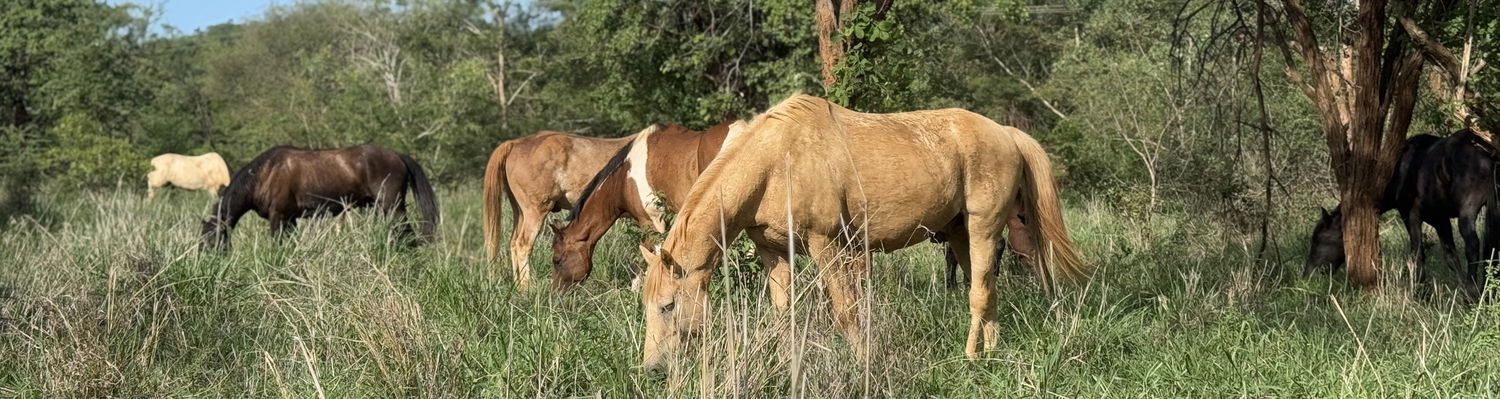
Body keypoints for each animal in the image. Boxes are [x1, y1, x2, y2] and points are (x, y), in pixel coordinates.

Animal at [483, 131, 636, 289]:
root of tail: (515, 143)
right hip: (535, 212)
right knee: (522, 245)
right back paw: (526, 288)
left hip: (519, 211)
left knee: (513, 243)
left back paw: (518, 287)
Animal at [639, 94, 1086, 373]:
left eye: (667, 305)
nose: (653, 368)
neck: (776, 161)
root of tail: (1006, 133)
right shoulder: (774, 252)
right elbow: (784, 315)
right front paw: (785, 365)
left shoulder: (828, 246)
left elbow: (846, 311)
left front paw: (862, 363)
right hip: (960, 233)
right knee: (988, 290)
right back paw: (990, 352)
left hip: (982, 227)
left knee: (978, 292)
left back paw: (971, 358)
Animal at [1308, 129, 1494, 294]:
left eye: (1318, 239)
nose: (1308, 274)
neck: (1399, 172)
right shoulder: (1440, 219)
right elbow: (1451, 257)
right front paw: (1462, 294)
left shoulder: (1411, 215)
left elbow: (1417, 255)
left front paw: (1420, 294)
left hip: (1468, 210)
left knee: (1473, 245)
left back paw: (1474, 290)